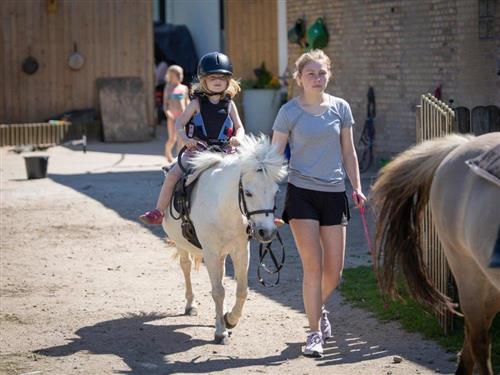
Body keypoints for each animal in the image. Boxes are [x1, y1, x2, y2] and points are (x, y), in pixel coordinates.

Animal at [163, 135, 288, 344]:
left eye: (276, 192)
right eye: (248, 193)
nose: (267, 232)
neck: (224, 207)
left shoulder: (240, 251)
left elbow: (242, 290)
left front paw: (229, 319)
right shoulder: (210, 253)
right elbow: (218, 291)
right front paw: (220, 332)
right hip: (182, 244)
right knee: (186, 267)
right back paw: (190, 305)